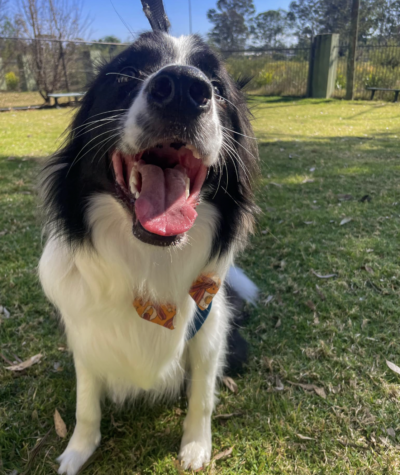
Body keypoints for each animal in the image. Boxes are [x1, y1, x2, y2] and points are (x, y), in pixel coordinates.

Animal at [39, 30, 258, 475]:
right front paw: (78, 449)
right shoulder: (85, 336)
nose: (185, 90)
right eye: (128, 73)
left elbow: (201, 396)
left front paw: (196, 447)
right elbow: (86, 402)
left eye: (217, 86)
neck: (149, 260)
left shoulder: (209, 331)